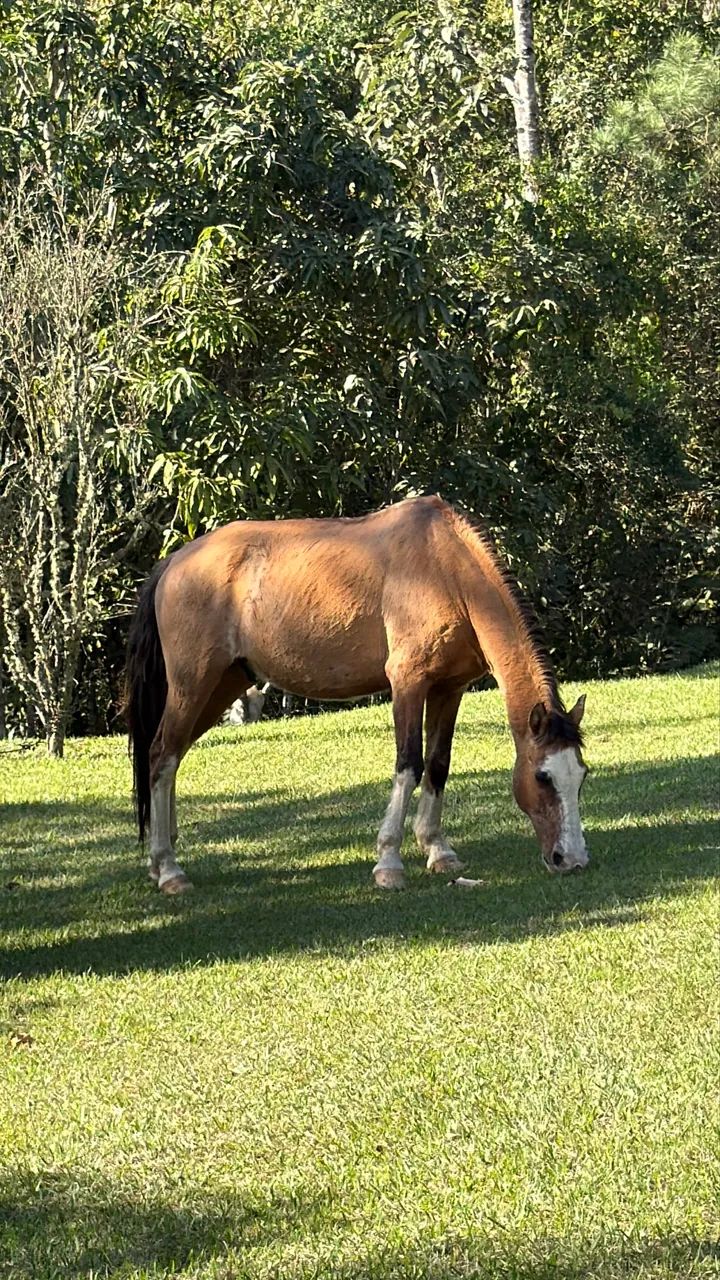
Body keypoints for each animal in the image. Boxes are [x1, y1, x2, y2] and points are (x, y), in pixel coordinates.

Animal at [125, 496, 589, 894]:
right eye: (542, 776)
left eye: (581, 775)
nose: (571, 859)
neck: (446, 570)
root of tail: (173, 562)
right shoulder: (408, 683)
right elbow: (409, 765)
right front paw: (389, 864)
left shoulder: (448, 689)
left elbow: (438, 765)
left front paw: (438, 851)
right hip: (192, 684)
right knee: (162, 755)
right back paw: (169, 869)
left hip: (221, 687)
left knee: (170, 756)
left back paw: (159, 862)